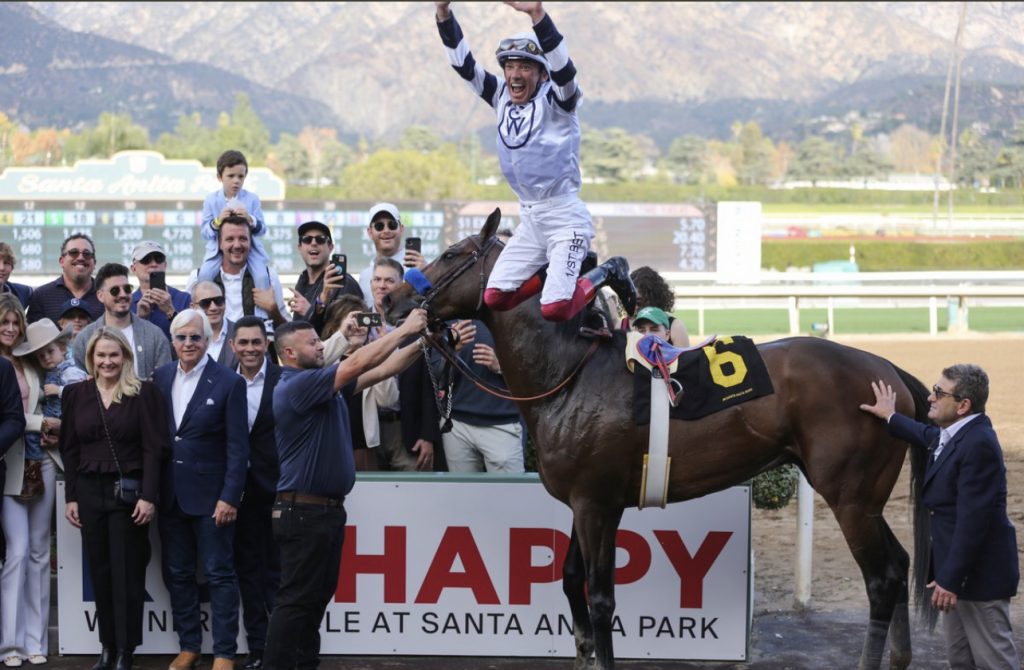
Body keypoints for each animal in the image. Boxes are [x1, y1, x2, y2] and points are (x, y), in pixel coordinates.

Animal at [385, 211, 937, 670]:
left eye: (452, 254)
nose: (392, 300)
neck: (568, 375)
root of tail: (888, 370)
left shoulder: (598, 504)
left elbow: (599, 597)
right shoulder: (582, 501)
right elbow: (569, 581)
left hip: (849, 495)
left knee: (882, 578)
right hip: (867, 500)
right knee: (901, 564)